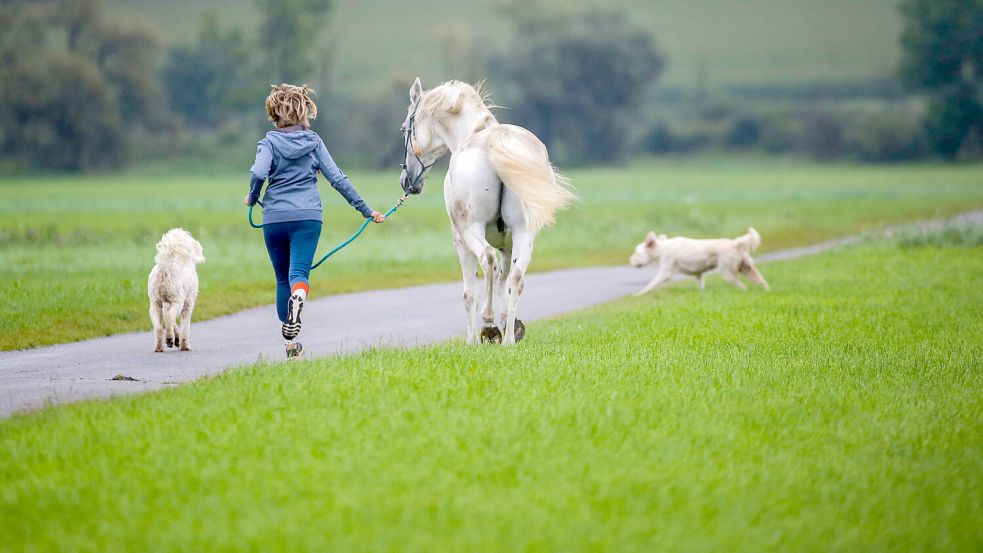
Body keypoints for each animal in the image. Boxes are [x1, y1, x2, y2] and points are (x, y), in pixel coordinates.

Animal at [398, 78, 572, 342]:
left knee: (487, 259)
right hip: (524, 233)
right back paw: (508, 339)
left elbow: (470, 292)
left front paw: (472, 339)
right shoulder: (508, 246)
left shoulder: (460, 240)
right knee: (516, 278)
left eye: (404, 129)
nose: (407, 181)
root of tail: (495, 143)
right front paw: (511, 325)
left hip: (472, 231)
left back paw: (488, 325)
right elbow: (503, 283)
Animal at [632, 226, 768, 296]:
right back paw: (766, 290)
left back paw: (745, 291)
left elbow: (651, 284)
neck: (662, 248)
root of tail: (735, 243)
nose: (630, 261)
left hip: (727, 271)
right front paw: (702, 293)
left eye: (636, 253)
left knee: (741, 285)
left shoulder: (665, 272)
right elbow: (700, 283)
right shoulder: (699, 274)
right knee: (761, 280)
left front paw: (639, 294)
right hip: (746, 267)